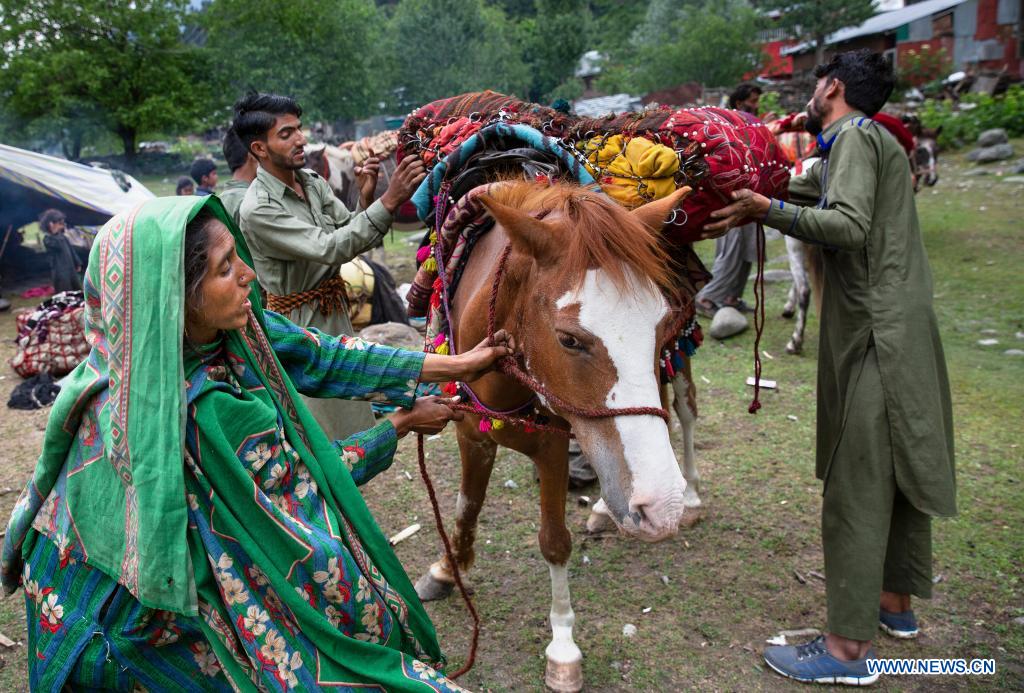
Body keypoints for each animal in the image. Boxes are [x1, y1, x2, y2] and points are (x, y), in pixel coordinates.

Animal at [415, 181, 696, 687]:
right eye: (569, 339)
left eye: (661, 325)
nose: (660, 508)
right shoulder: (471, 433)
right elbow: (467, 504)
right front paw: (447, 569)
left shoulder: (553, 449)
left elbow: (554, 540)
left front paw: (563, 647)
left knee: (684, 413)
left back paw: (689, 497)